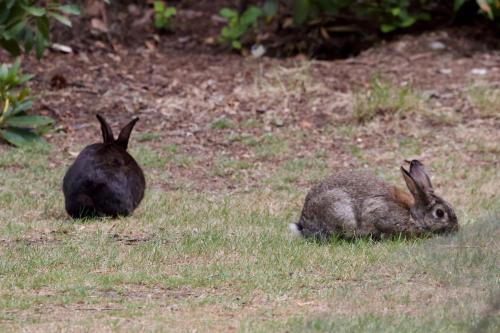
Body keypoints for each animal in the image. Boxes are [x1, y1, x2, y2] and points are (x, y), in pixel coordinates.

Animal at [292, 159, 458, 239]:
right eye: (440, 213)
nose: (456, 229)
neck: (413, 215)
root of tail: (304, 224)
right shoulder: (378, 212)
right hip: (341, 212)